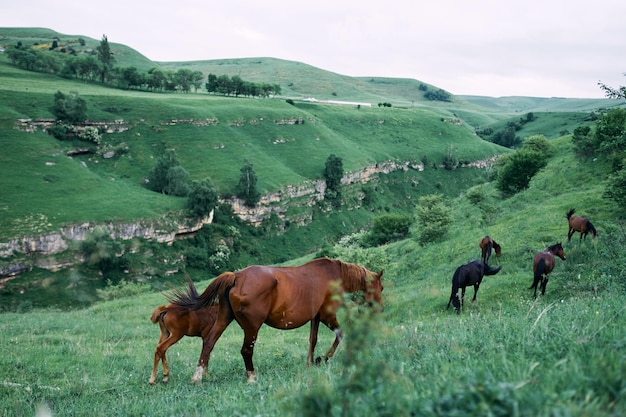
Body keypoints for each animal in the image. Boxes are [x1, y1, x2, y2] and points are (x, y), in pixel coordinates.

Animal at [172, 256, 386, 384]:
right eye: (382, 287)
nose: (380, 309)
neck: (334, 275)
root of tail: (237, 276)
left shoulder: (316, 317)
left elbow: (312, 340)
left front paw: (310, 362)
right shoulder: (327, 315)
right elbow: (340, 335)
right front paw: (322, 358)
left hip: (224, 318)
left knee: (209, 342)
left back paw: (198, 376)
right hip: (252, 327)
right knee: (246, 350)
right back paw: (251, 377)